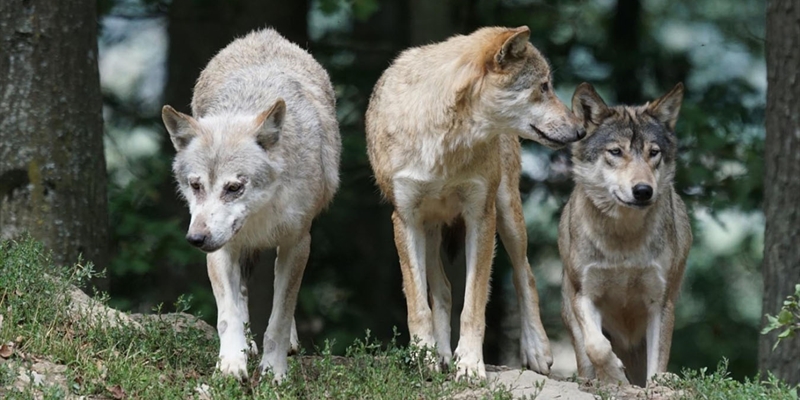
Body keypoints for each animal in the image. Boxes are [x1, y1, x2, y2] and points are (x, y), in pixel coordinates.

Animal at [161, 27, 340, 382]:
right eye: (196, 185)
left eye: (234, 188)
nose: (195, 239)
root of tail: (263, 34)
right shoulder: (221, 249)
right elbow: (227, 314)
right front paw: (231, 364)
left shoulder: (298, 243)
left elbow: (280, 317)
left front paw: (274, 372)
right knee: (241, 293)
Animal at [366, 25, 584, 378]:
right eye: (543, 87)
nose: (581, 130)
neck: (445, 141)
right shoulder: (405, 219)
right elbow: (418, 304)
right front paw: (424, 357)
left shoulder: (481, 216)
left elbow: (474, 305)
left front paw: (469, 364)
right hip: (429, 229)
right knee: (442, 290)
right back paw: (440, 355)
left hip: (508, 214)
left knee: (525, 275)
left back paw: (536, 350)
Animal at [560, 83, 692, 386]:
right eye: (616, 151)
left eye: (653, 152)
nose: (643, 191)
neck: (623, 239)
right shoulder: (584, 294)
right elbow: (597, 346)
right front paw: (614, 376)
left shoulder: (660, 303)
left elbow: (657, 366)